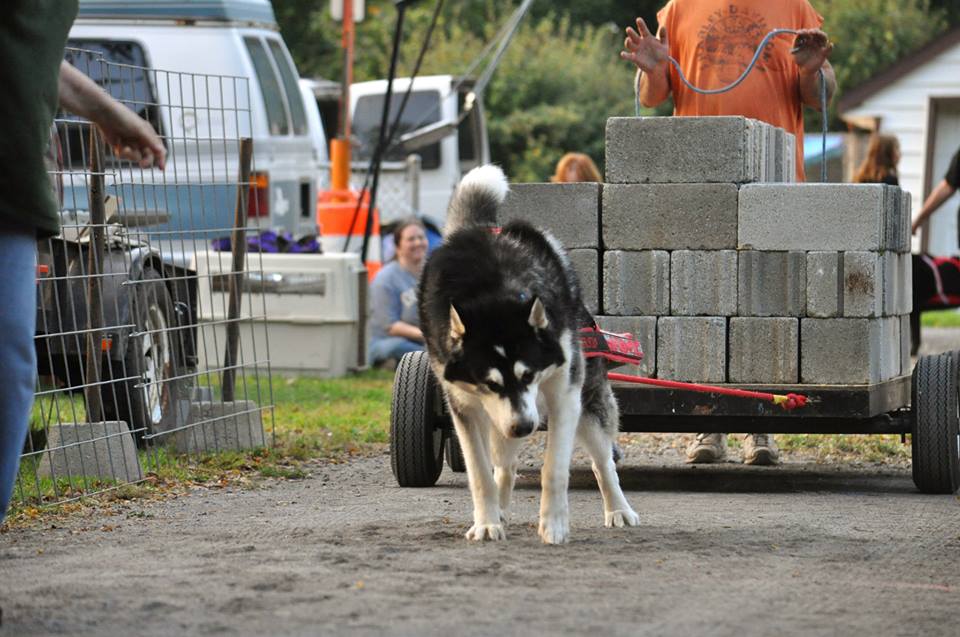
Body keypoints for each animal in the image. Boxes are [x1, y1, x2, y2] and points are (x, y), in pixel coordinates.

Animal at [418, 164, 636, 540]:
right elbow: (480, 473)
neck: (492, 293)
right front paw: (487, 522)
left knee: (603, 461)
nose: (523, 427)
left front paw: (554, 524)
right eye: (489, 383)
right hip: (497, 421)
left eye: (529, 374)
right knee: (504, 464)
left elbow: (555, 468)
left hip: (587, 405)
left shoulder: (564, 392)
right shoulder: (464, 407)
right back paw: (501, 508)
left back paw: (619, 509)